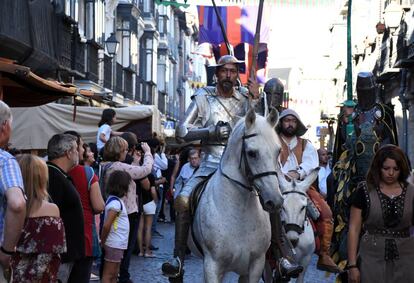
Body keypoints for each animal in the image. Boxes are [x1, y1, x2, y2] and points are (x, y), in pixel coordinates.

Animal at [190, 107, 284, 282]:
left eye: (278, 151)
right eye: (252, 153)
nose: (275, 201)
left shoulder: (255, 265)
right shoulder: (212, 265)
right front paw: (220, 131)